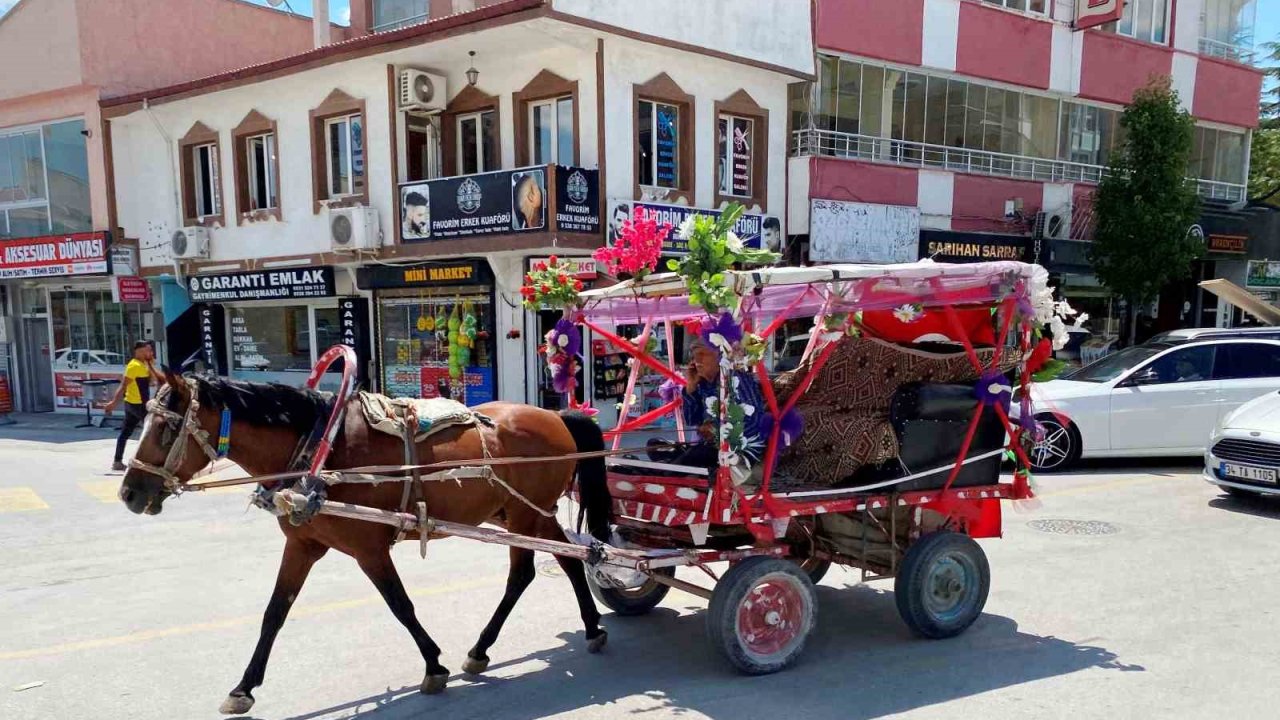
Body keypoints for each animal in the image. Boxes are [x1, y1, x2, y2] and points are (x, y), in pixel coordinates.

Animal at [120, 368, 614, 712]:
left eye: (166, 428)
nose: (129, 493)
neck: (320, 448)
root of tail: (555, 414)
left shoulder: (368, 549)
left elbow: (400, 605)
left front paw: (433, 666)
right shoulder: (302, 545)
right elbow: (274, 613)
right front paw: (243, 688)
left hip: (525, 513)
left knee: (527, 572)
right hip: (525, 512)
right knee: (568, 560)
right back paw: (576, 631)